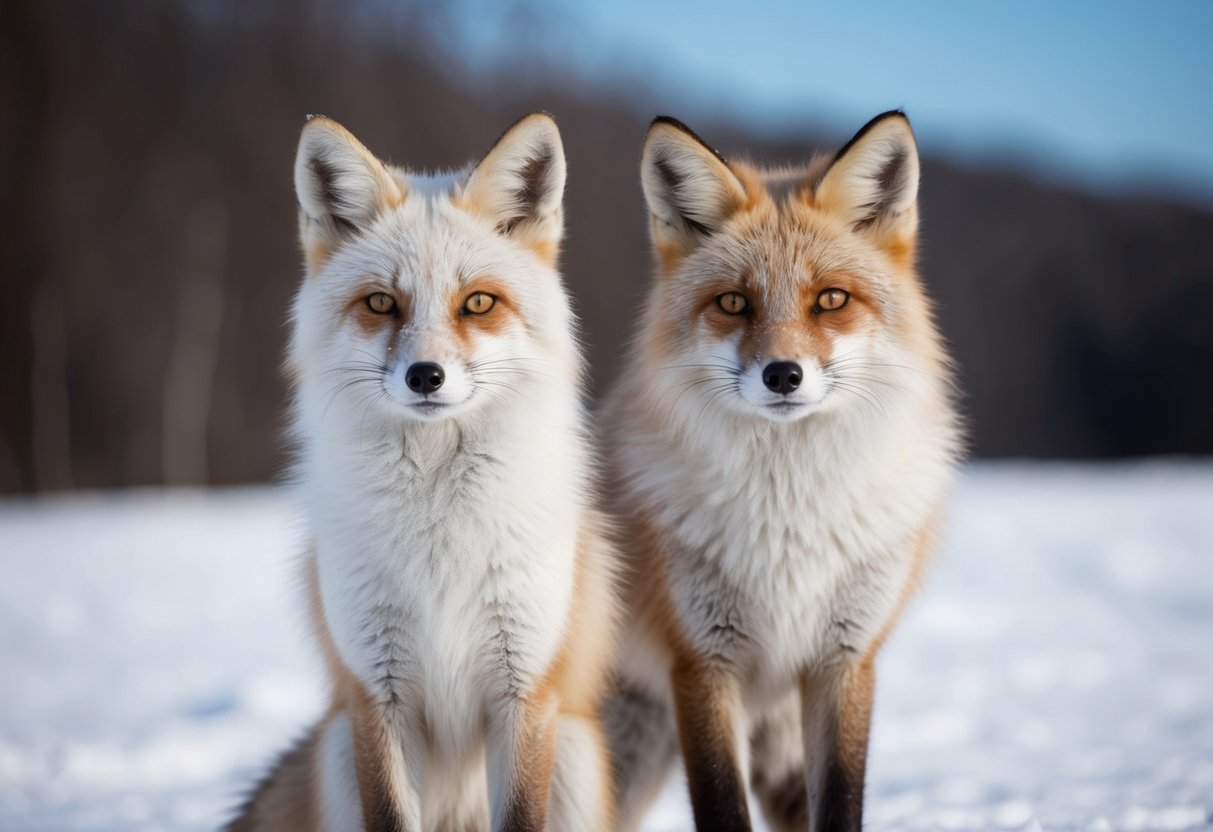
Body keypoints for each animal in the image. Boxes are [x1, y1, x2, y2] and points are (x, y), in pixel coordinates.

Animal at [228, 113, 618, 832]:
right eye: (382, 303)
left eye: (479, 303)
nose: (425, 376)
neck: (439, 529)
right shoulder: (375, 693)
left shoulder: (524, 689)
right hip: (337, 749)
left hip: (574, 761)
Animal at [600, 111, 961, 832]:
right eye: (734, 303)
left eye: (830, 299)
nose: (783, 374)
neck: (791, 517)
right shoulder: (702, 665)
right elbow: (721, 807)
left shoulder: (845, 661)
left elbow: (842, 805)